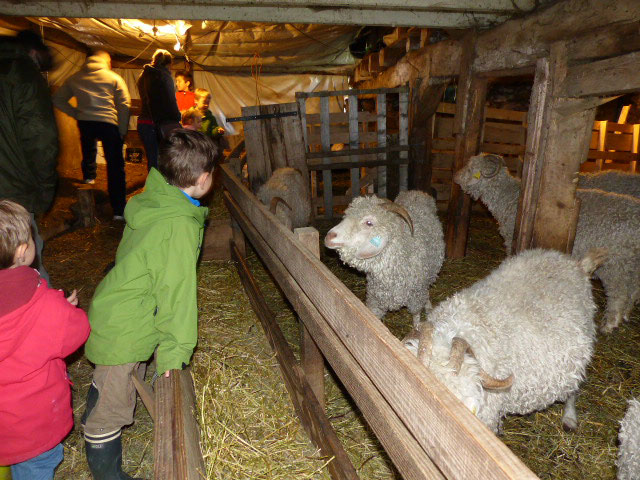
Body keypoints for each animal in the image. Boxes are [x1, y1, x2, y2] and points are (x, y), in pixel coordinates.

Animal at [324, 190, 444, 326]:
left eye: (369, 223)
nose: (329, 236)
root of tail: (417, 192)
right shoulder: (375, 300)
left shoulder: (416, 296)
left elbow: (416, 315)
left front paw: (417, 327)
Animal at [456, 155, 640, 334]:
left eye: (471, 169)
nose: (456, 178)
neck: (509, 199)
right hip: (632, 267)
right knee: (632, 292)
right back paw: (624, 316)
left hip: (616, 266)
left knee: (618, 294)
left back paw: (609, 325)